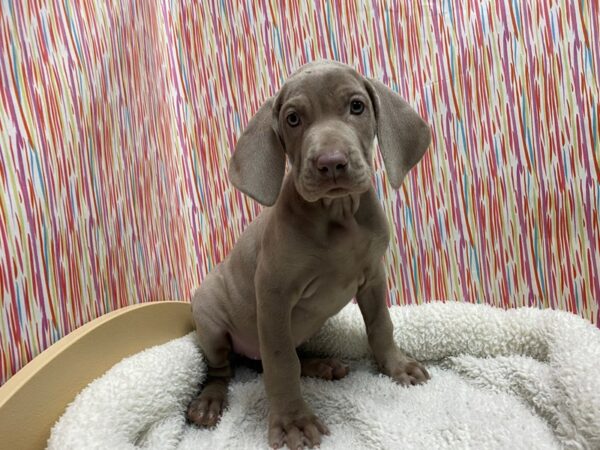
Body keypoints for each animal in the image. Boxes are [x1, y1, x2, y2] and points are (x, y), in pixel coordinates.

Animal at [188, 60, 432, 450]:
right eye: (293, 119)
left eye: (357, 106)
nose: (331, 163)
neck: (338, 215)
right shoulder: (273, 297)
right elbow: (281, 362)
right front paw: (293, 421)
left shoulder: (374, 278)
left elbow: (381, 325)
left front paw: (396, 366)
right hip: (209, 317)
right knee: (225, 369)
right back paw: (209, 402)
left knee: (278, 358)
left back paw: (321, 365)